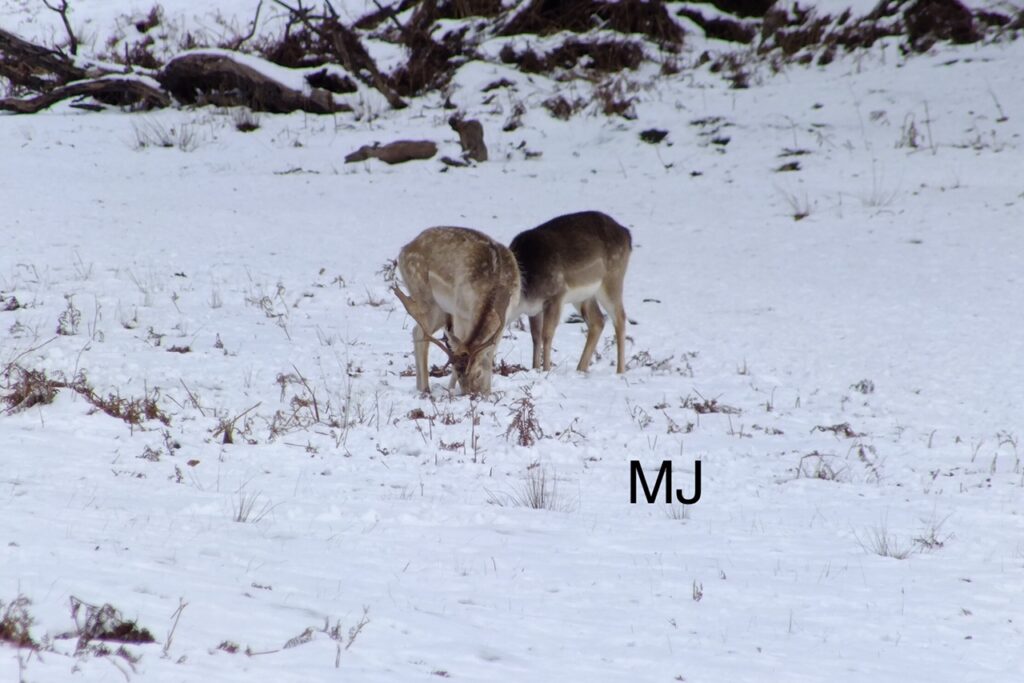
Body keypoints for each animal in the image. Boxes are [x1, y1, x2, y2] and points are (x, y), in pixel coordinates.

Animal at [393, 227, 520, 395]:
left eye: (478, 374)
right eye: (459, 376)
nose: (470, 395)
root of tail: (404, 250)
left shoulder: (506, 320)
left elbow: (489, 356)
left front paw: (487, 392)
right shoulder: (460, 313)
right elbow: (459, 347)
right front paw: (451, 389)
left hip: (440, 310)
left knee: (416, 332)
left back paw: (420, 387)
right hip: (424, 297)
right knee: (422, 334)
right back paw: (425, 388)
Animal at [509, 211, 632, 374]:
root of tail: (626, 234)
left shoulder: (556, 295)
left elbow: (547, 334)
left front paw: (546, 370)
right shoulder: (534, 309)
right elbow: (535, 336)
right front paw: (534, 368)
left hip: (612, 279)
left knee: (620, 317)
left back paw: (620, 371)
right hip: (583, 296)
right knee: (598, 321)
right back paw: (581, 369)